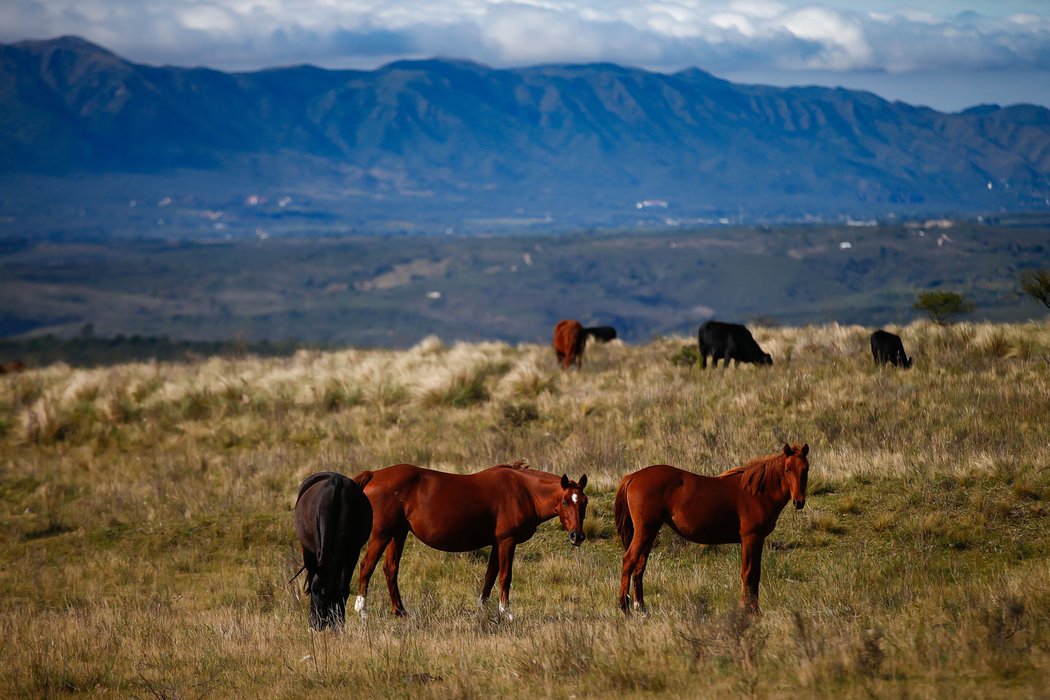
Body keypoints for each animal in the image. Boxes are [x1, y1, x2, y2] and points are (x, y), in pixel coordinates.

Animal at [348, 465, 588, 617]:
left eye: (584, 502)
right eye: (566, 501)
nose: (577, 536)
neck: (523, 491)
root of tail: (375, 475)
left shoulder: (497, 542)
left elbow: (490, 576)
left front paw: (483, 609)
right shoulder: (507, 541)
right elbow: (505, 577)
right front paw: (506, 612)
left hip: (397, 534)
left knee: (390, 569)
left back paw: (400, 611)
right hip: (382, 534)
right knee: (367, 566)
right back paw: (363, 610)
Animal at [613, 447, 810, 617]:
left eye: (805, 469)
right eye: (787, 470)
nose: (799, 501)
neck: (756, 492)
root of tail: (633, 476)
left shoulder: (757, 540)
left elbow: (755, 574)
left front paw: (752, 609)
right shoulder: (751, 538)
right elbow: (748, 574)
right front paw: (750, 610)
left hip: (651, 531)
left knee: (640, 566)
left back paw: (641, 608)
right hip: (644, 530)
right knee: (629, 561)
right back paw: (625, 608)